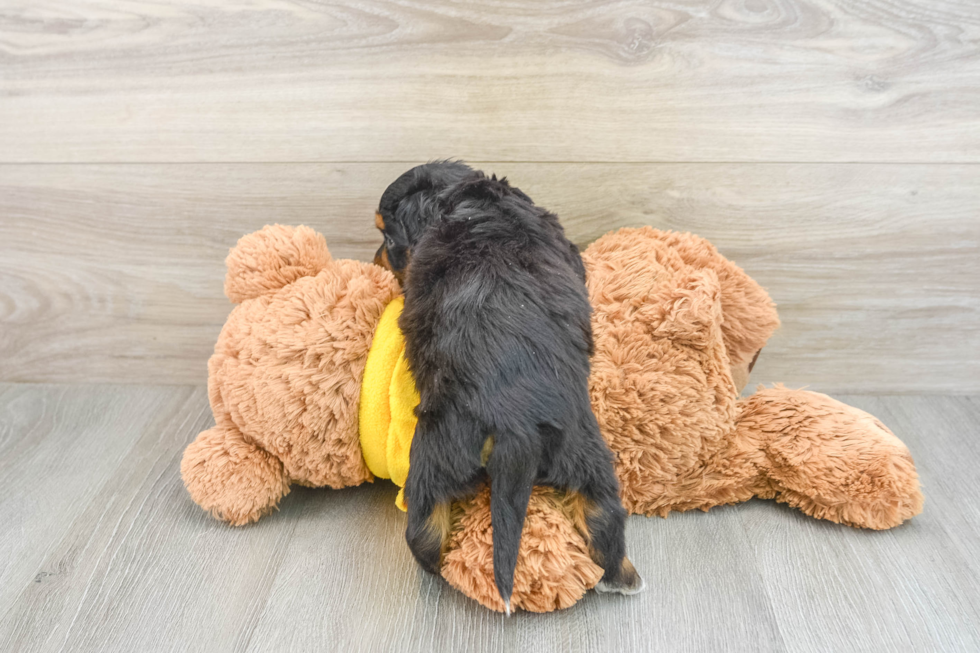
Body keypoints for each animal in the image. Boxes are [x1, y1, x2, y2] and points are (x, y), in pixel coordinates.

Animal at [376, 162, 644, 612]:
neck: (467, 200)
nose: (375, 257)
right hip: (586, 454)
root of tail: (513, 424)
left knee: (424, 532)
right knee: (605, 518)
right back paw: (623, 577)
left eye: (388, 237)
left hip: (436, 455)